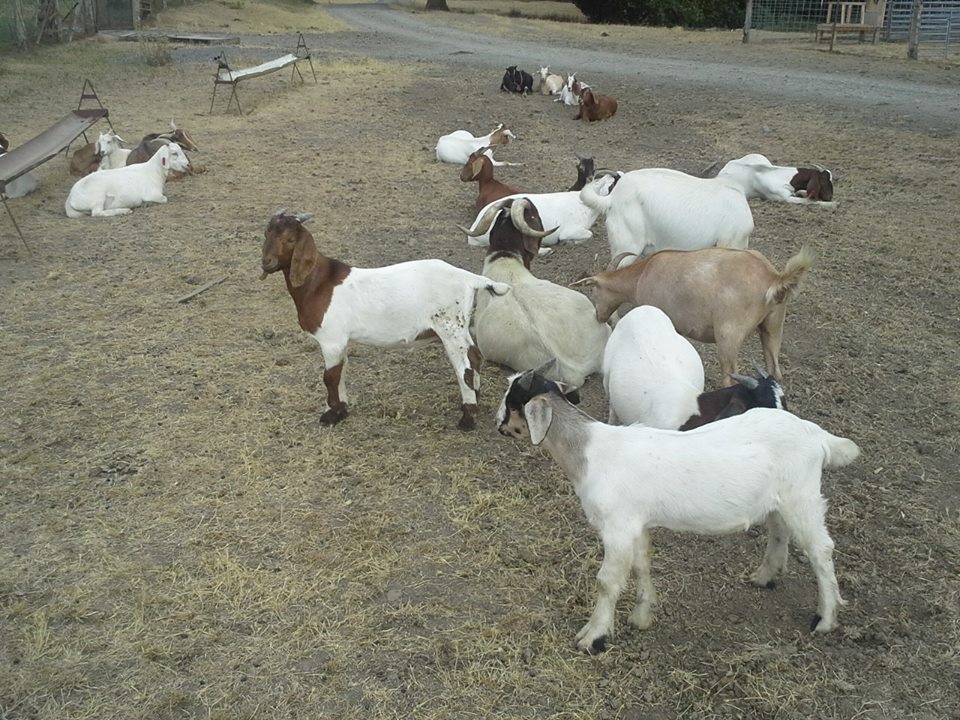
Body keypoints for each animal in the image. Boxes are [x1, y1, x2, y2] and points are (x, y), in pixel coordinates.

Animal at [260, 210, 511, 430]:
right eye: (267, 235)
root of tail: (468, 278)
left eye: (291, 239)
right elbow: (341, 370)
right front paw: (342, 409)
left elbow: (330, 376)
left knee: (465, 364)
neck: (319, 282)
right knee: (474, 356)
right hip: (459, 325)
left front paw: (331, 415)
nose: (267, 263)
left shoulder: (331, 339)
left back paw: (467, 419)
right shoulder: (341, 341)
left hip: (449, 325)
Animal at [497, 368, 859, 652]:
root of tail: (817, 435)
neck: (590, 452)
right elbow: (641, 564)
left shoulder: (617, 526)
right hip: (781, 498)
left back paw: (825, 618)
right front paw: (642, 616)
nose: (497, 425)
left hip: (803, 495)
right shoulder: (636, 523)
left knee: (821, 549)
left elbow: (606, 581)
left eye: (512, 401)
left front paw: (593, 637)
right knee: (779, 529)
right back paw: (765, 576)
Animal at [572, 246, 813, 384]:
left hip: (729, 334)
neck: (642, 274)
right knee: (775, 370)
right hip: (773, 326)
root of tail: (772, 277)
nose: (599, 316)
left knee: (730, 375)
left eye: (594, 291)